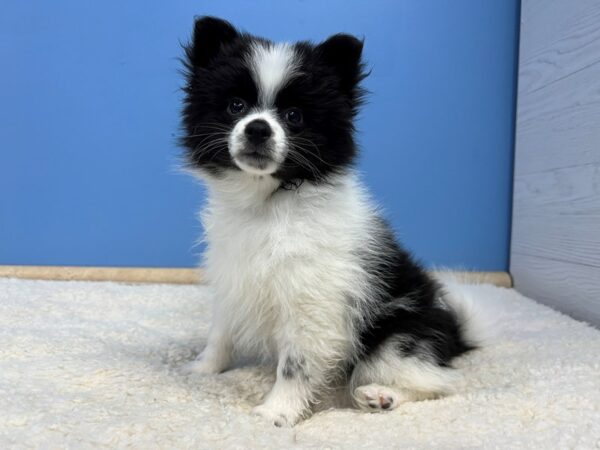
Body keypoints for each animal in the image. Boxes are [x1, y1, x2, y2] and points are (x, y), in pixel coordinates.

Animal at [179, 16, 488, 426]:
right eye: (235, 106)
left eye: (294, 116)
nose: (258, 128)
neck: (269, 203)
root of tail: (455, 333)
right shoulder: (234, 276)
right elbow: (220, 332)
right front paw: (202, 369)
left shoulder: (311, 305)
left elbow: (294, 365)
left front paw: (275, 412)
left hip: (398, 339)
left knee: (438, 383)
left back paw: (382, 395)